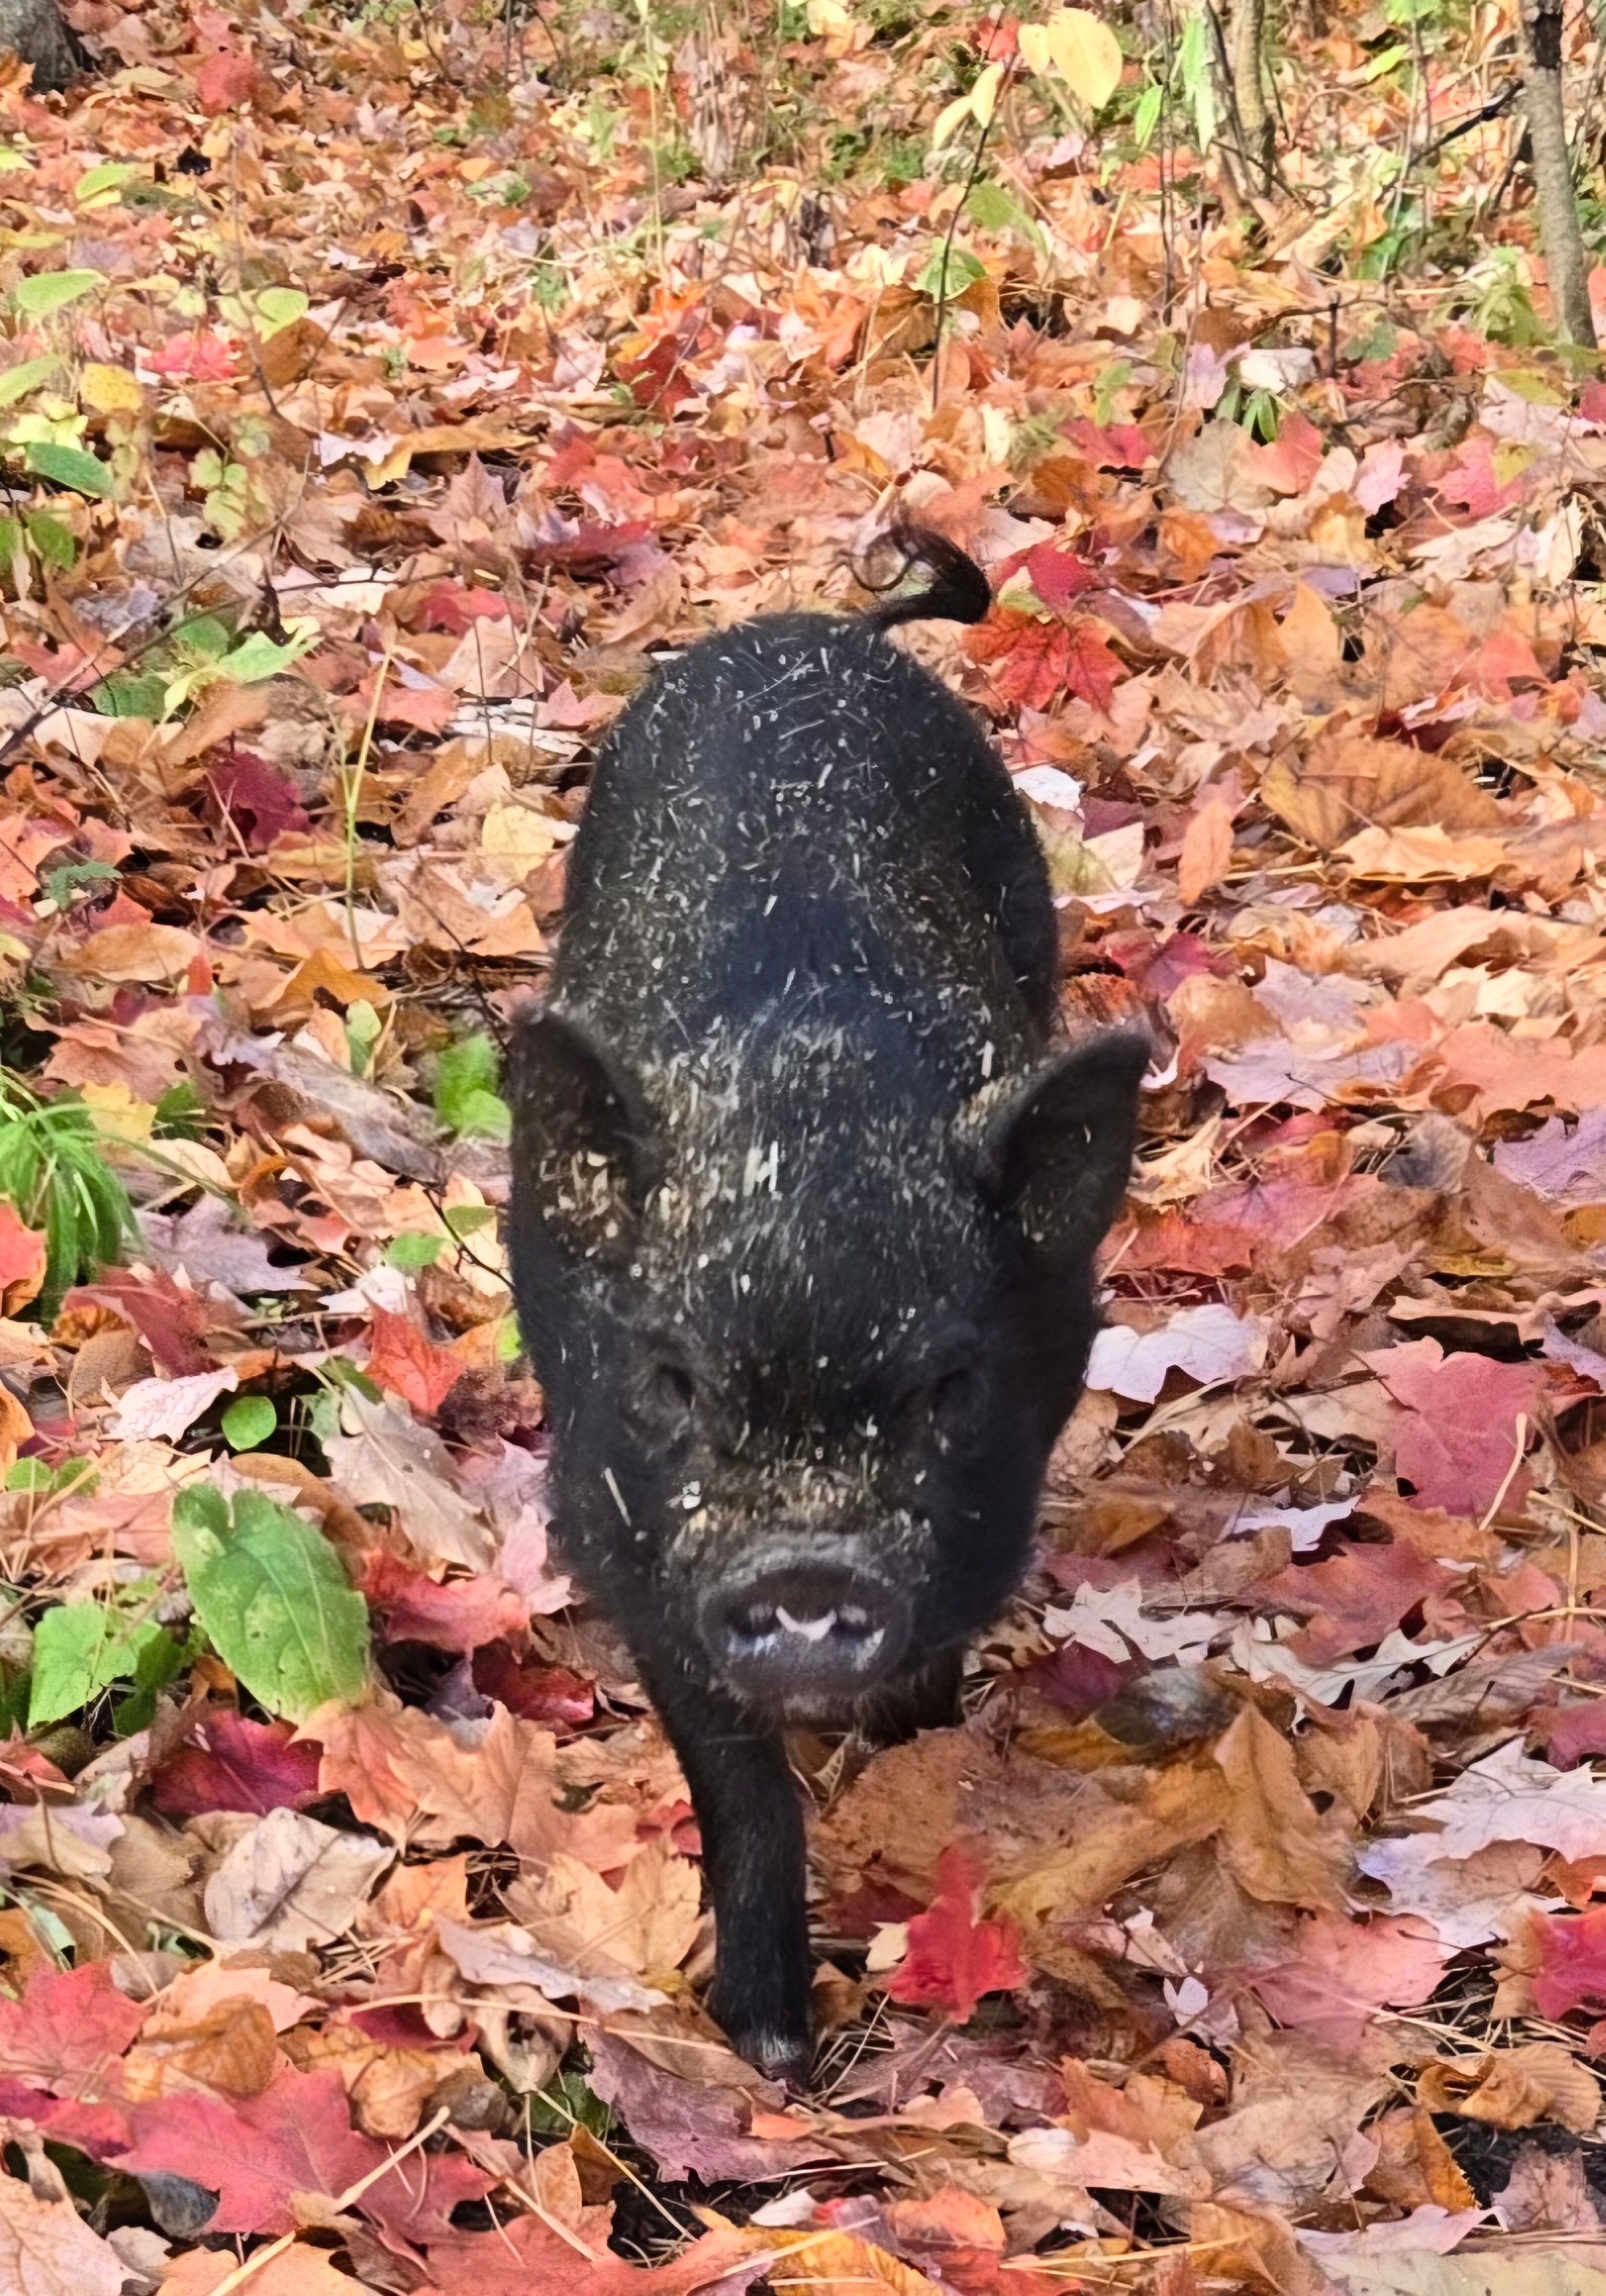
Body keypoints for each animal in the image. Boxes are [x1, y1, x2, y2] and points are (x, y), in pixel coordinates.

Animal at [509, 529, 1146, 2080]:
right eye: (669, 1379)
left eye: (948, 1386)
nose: (806, 1570)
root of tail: (819, 627)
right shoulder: (632, 1553)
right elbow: (736, 1791)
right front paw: (769, 2050)